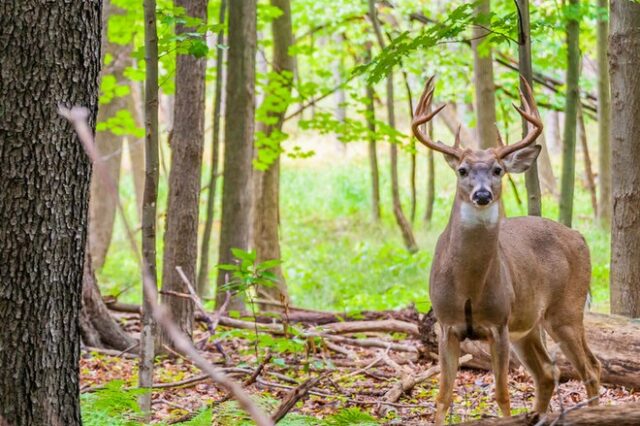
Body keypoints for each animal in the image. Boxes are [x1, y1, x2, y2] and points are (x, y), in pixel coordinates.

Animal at [412, 77, 604, 426]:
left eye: (498, 169)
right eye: (462, 170)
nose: (482, 194)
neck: (468, 285)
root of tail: (580, 236)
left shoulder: (498, 322)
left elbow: (502, 394)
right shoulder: (446, 324)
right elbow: (443, 396)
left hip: (566, 309)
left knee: (591, 368)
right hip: (527, 326)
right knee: (548, 372)